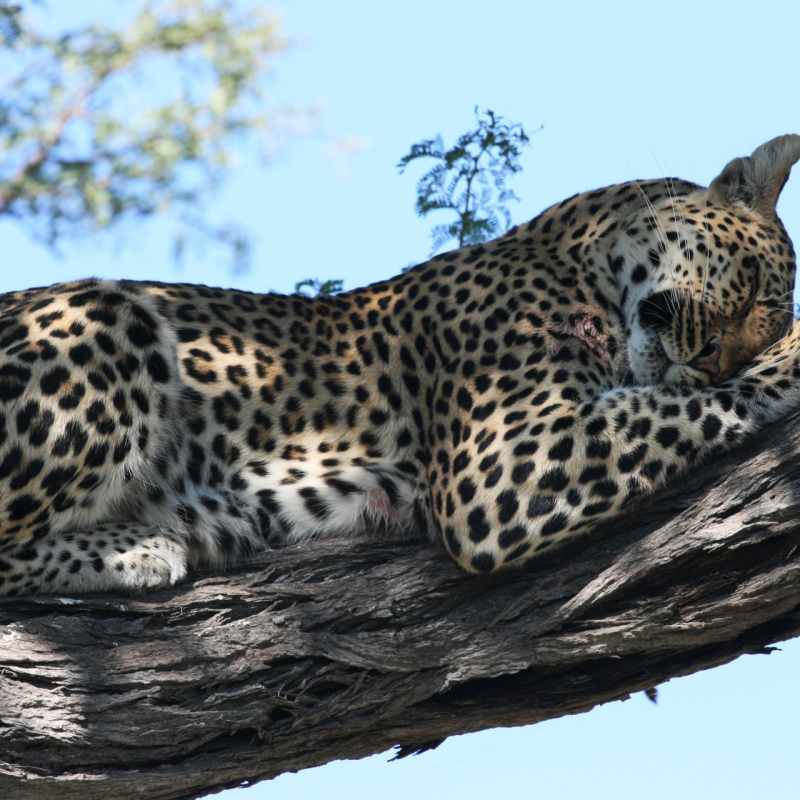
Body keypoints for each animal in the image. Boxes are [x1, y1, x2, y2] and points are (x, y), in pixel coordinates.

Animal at [1, 134, 800, 595]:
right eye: (753, 287)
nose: (708, 356)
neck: (579, 257)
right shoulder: (499, 467)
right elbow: (678, 406)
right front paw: (791, 358)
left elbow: (668, 400)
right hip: (109, 313)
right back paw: (138, 546)